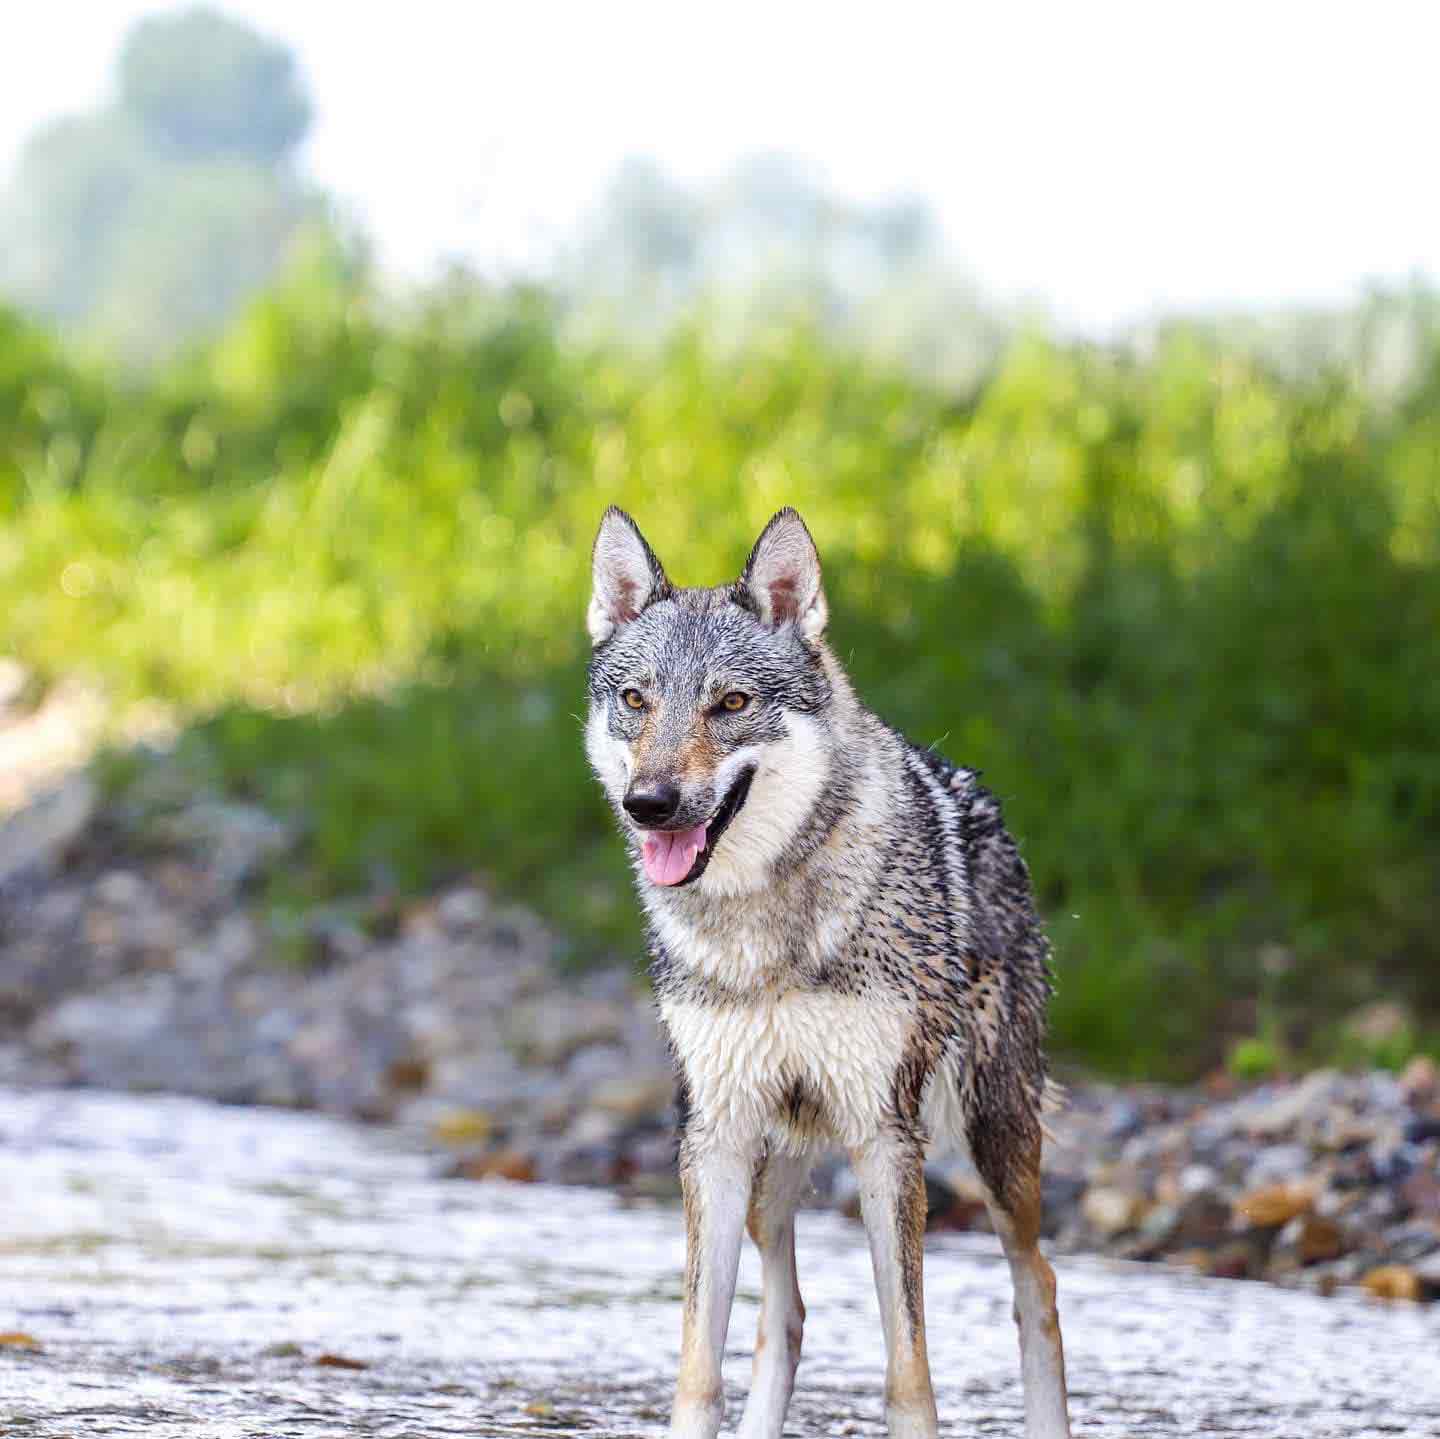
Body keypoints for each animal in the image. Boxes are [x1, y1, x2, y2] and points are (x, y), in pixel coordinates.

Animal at [584, 506, 1071, 1439]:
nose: (649, 805)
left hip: (994, 1139)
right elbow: (698, 1366)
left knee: (1040, 1289)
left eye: (731, 703)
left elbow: (909, 1370)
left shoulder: (886, 1137)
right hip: (770, 1163)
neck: (765, 933)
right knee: (787, 1313)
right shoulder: (714, 1138)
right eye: (637, 702)